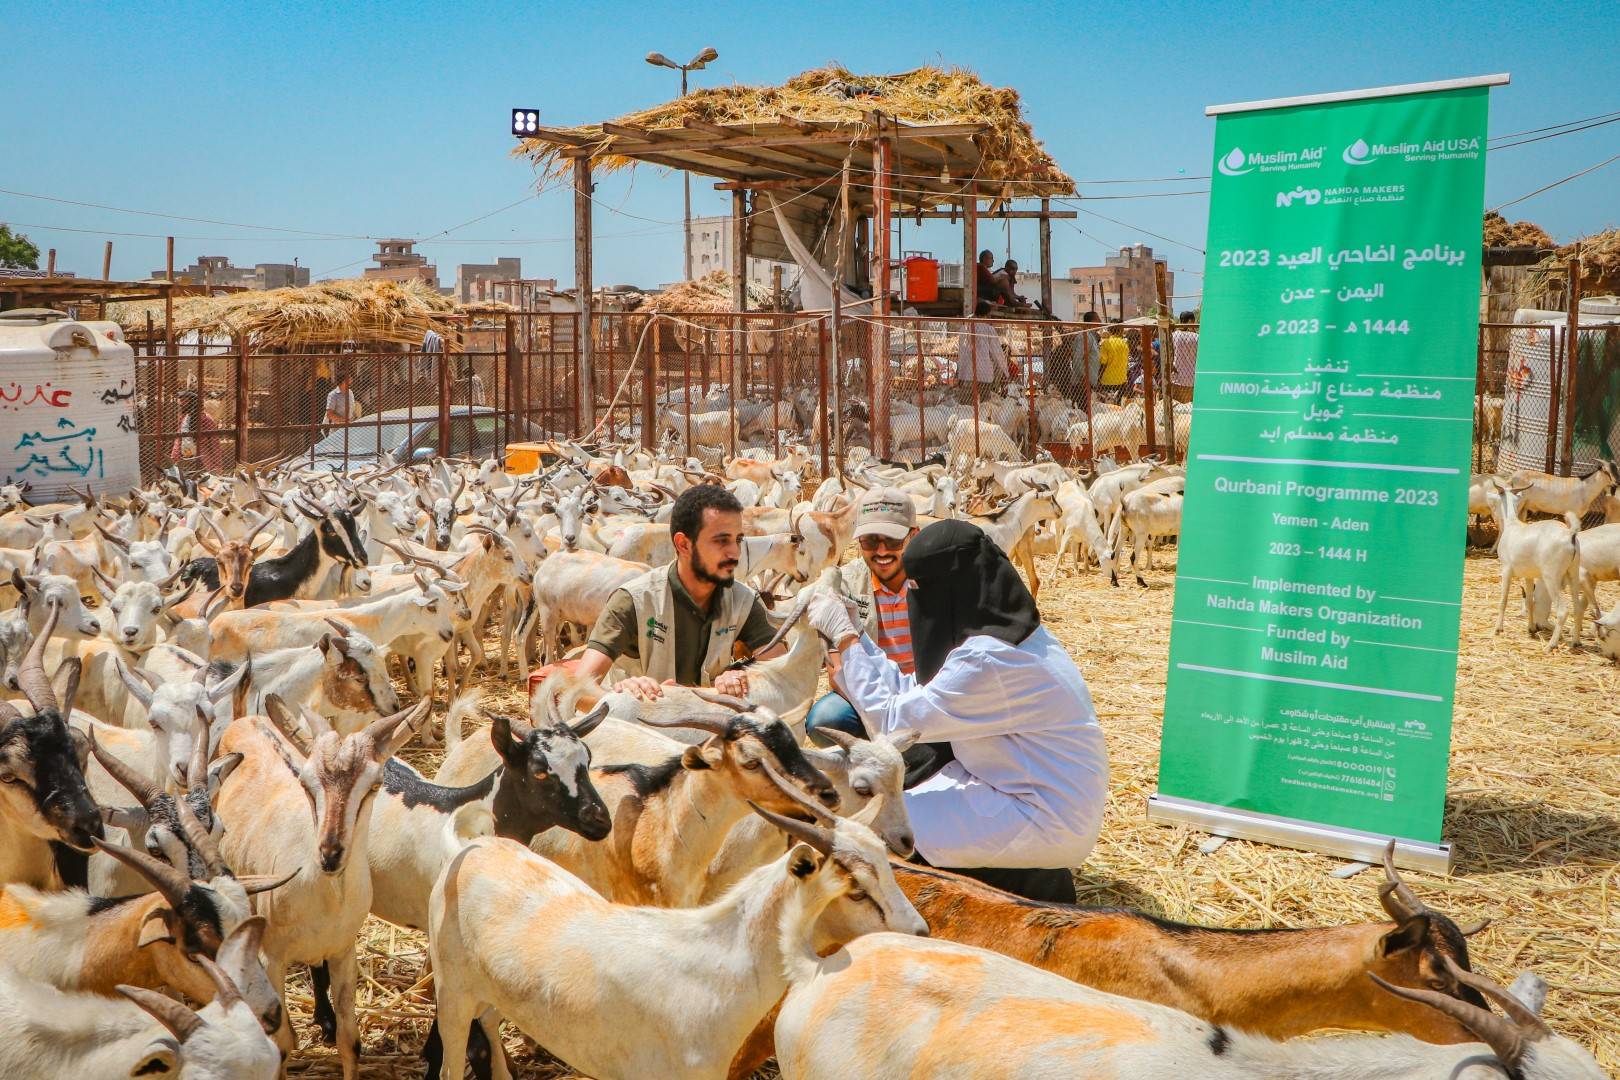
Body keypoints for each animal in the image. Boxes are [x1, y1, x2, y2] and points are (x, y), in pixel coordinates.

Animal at [427, 766, 925, 1080]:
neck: (710, 969)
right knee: (452, 1063)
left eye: (887, 864)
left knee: (490, 1022)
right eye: (854, 889)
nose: (920, 933)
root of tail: (466, 850)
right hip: (452, 993)